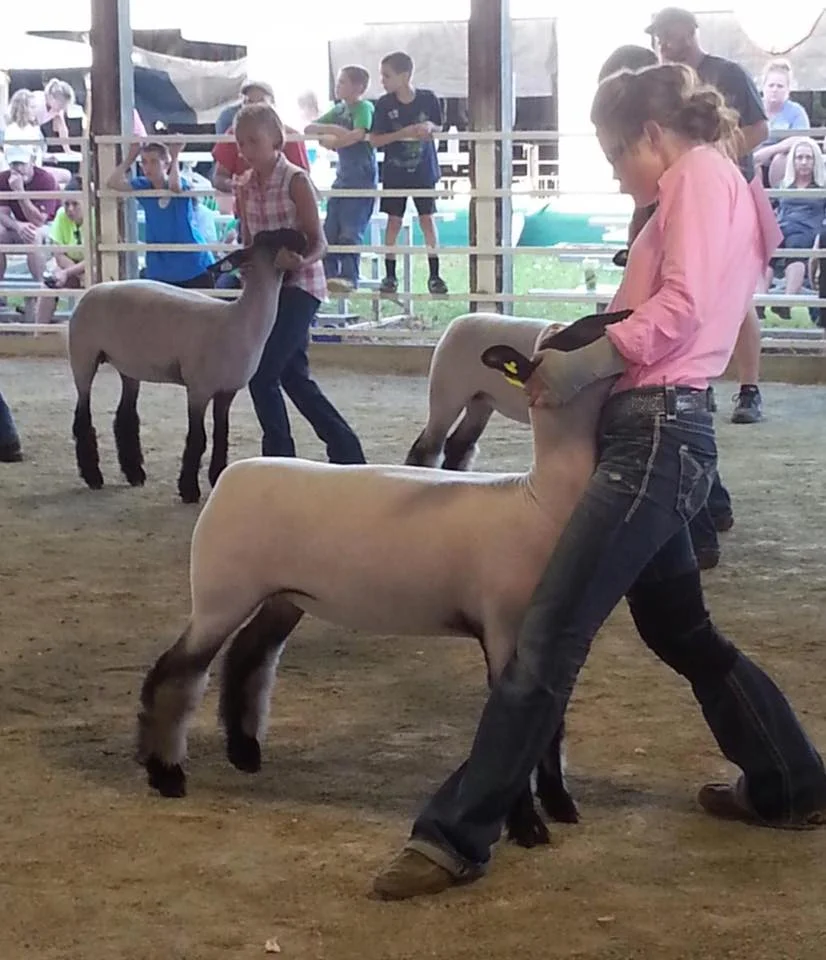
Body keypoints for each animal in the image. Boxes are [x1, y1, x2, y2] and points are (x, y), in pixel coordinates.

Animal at [68, 228, 307, 504]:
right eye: (274, 238)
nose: (304, 237)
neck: (240, 320)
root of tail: (90, 291)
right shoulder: (198, 388)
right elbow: (197, 438)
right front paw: (189, 489)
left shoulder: (227, 391)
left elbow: (221, 435)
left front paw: (217, 477)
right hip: (83, 357)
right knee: (82, 417)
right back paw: (93, 477)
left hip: (129, 366)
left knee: (125, 417)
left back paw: (134, 474)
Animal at [136, 309, 628, 849]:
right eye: (578, 333)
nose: (626, 317)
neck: (538, 501)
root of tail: (231, 477)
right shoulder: (502, 626)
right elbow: (514, 723)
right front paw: (527, 826)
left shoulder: (552, 632)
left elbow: (551, 724)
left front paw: (561, 805)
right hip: (221, 592)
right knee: (176, 671)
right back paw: (166, 774)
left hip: (285, 593)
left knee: (249, 657)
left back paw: (245, 753)